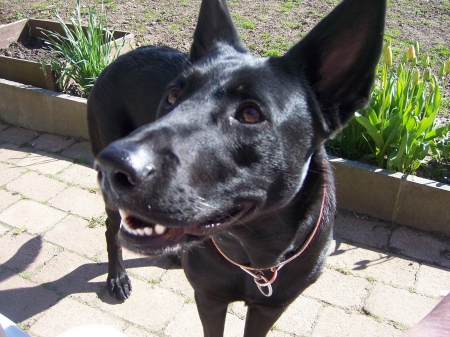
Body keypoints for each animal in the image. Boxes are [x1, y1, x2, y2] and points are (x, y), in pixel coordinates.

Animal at [89, 0, 386, 334]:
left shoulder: (269, 308)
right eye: (173, 96)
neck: (254, 258)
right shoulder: (209, 298)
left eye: (250, 113)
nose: (112, 164)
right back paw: (117, 277)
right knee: (111, 231)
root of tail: (121, 56)